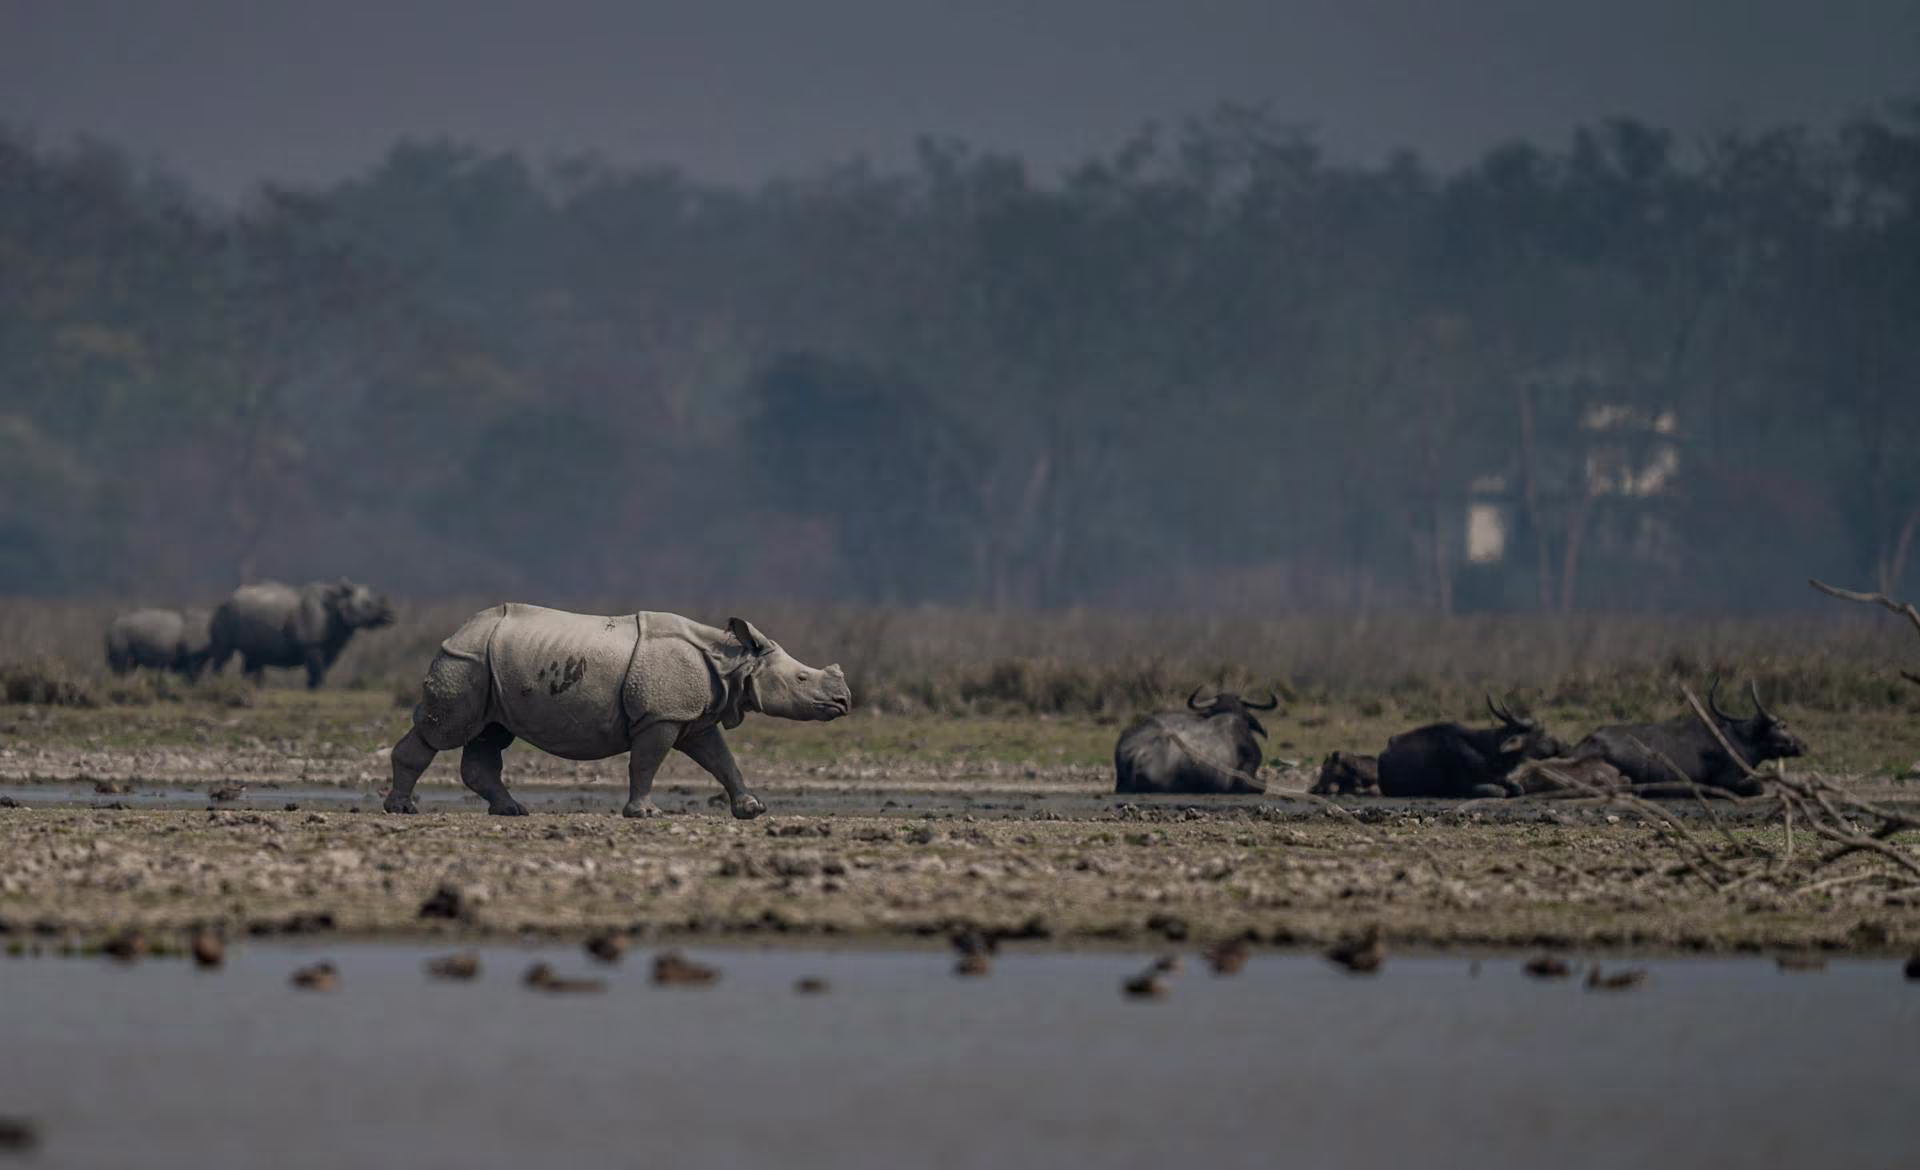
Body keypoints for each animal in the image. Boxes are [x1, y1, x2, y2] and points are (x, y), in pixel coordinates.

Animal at [207, 579, 395, 688]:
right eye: (368, 605)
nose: (390, 616)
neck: (337, 603)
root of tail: (226, 600)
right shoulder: (311, 645)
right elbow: (317, 670)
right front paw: (317, 689)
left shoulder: (330, 647)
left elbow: (321, 670)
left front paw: (313, 688)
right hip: (225, 614)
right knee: (224, 653)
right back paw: (218, 683)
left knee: (252, 657)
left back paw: (248, 686)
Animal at [384, 604, 852, 818]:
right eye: (802, 680)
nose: (844, 701)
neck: (733, 662)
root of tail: (459, 628)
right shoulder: (661, 715)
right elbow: (646, 763)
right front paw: (645, 813)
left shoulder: (692, 718)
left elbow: (722, 760)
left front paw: (751, 809)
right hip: (465, 660)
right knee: (444, 731)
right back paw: (402, 810)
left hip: (489, 666)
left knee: (490, 733)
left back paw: (512, 810)